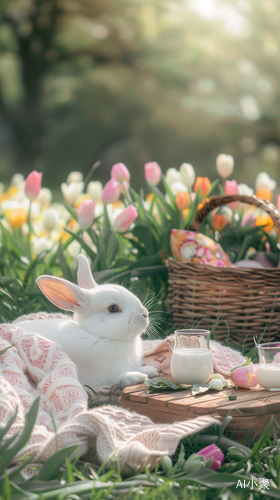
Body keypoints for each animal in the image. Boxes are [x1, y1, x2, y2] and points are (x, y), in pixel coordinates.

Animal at [16, 256, 159, 388]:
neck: (97, 335)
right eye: (113, 308)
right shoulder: (99, 379)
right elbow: (116, 379)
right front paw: (137, 376)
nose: (145, 314)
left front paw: (150, 370)